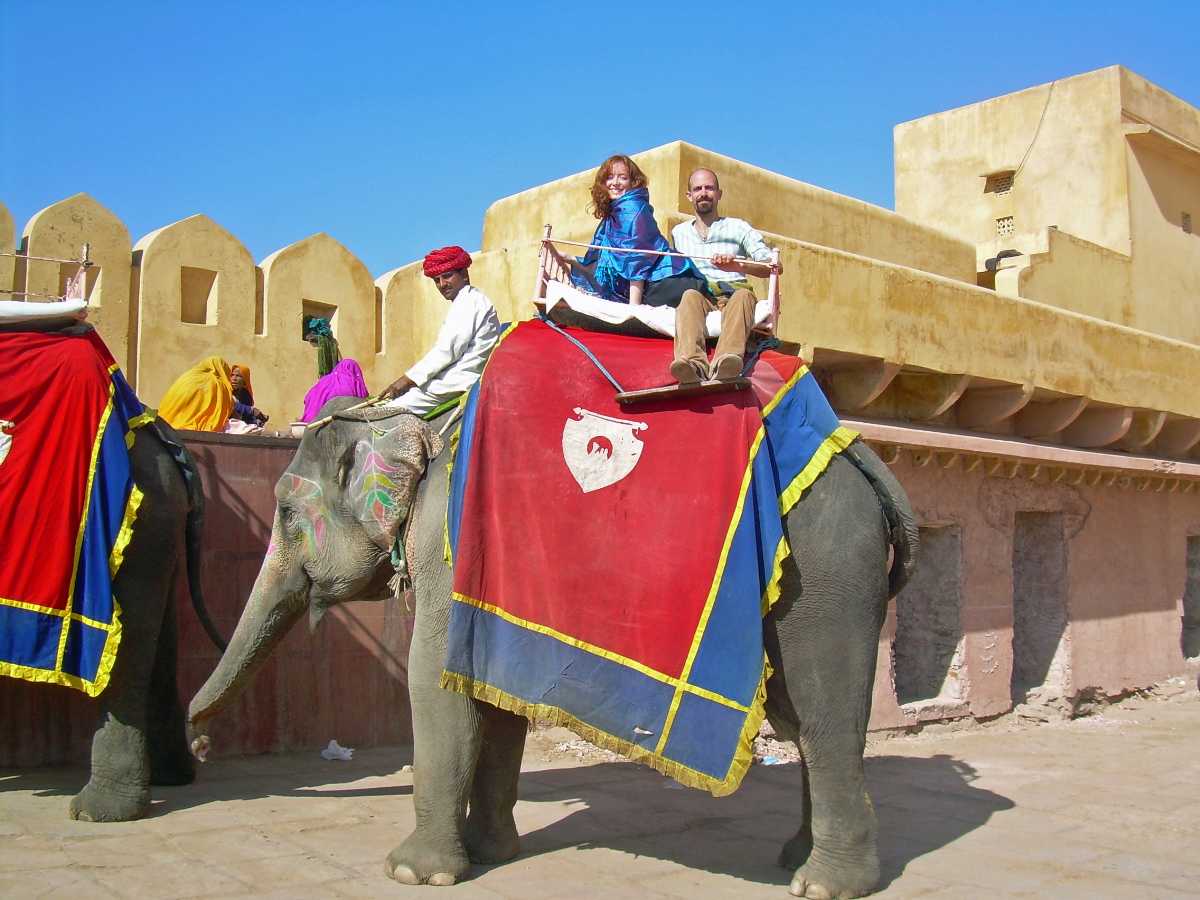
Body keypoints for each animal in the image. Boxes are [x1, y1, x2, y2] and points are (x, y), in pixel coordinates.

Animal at [187, 398, 916, 897]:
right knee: (804, 723)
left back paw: (825, 884)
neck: (419, 426)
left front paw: (412, 873)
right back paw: (797, 857)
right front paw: (490, 853)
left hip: (825, 575)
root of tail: (863, 455)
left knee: (824, 719)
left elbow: (432, 687)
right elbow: (491, 697)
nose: (198, 745)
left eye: (285, 515)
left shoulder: (446, 549)